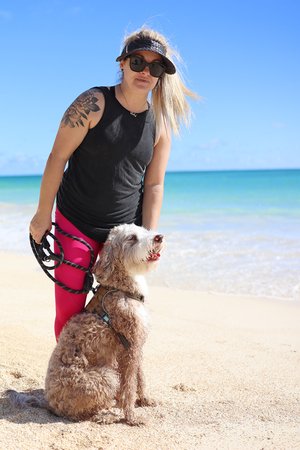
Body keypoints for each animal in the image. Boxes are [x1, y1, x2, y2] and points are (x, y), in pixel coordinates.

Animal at [6, 223, 164, 428]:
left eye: (144, 230)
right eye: (132, 238)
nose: (159, 237)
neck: (120, 288)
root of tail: (49, 403)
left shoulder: (135, 344)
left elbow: (140, 376)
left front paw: (145, 399)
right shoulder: (129, 347)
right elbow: (129, 386)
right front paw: (131, 417)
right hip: (106, 377)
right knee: (81, 414)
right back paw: (105, 415)